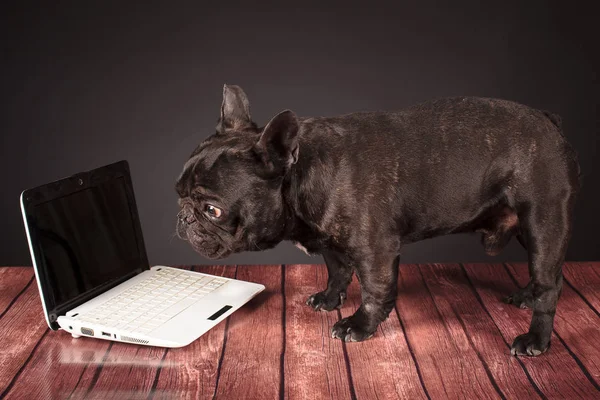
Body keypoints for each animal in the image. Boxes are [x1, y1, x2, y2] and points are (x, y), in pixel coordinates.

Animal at [176, 85, 580, 356]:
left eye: (212, 210)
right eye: (178, 191)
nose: (183, 216)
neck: (302, 171)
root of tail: (549, 120)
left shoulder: (376, 250)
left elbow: (375, 290)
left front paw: (359, 326)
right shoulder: (330, 240)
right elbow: (338, 271)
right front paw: (329, 298)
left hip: (543, 220)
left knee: (550, 283)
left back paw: (536, 340)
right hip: (528, 228)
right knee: (544, 275)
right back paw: (527, 295)